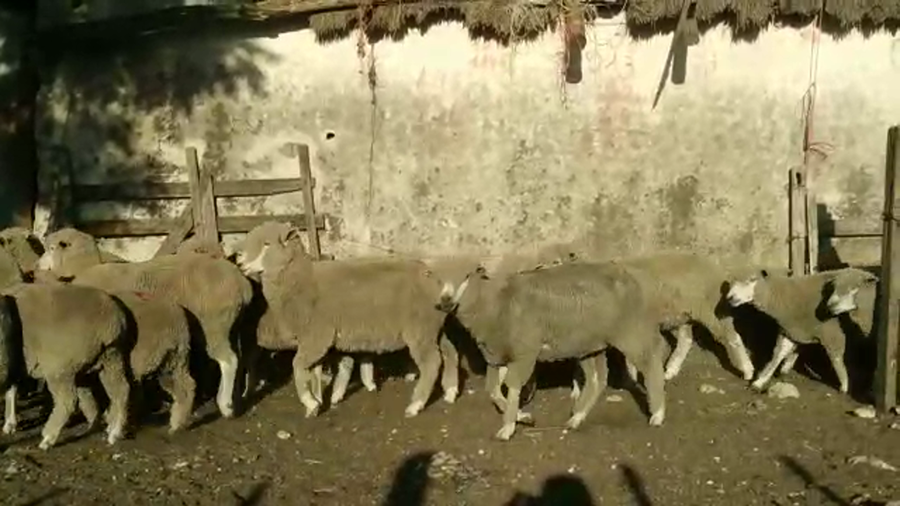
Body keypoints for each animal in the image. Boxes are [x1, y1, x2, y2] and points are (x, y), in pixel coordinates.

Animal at [0, 281, 131, 450]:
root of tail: (110, 320)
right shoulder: (15, 364)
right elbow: (11, 390)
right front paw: (10, 423)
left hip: (59, 367)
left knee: (67, 401)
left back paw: (48, 438)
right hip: (111, 357)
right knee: (121, 390)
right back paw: (114, 431)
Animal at [36, 228, 253, 419]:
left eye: (51, 248)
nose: (37, 267)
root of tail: (242, 284)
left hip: (214, 326)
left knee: (229, 360)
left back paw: (225, 405)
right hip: (231, 326)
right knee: (238, 358)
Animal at [234, 221, 453, 418]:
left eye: (267, 244)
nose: (240, 263)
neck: (300, 281)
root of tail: (433, 277)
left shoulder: (317, 337)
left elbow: (297, 366)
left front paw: (310, 401)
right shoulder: (315, 341)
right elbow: (314, 371)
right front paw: (317, 404)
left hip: (420, 330)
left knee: (432, 362)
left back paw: (415, 406)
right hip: (434, 328)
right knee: (449, 353)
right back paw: (450, 392)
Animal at [435, 258, 680, 441]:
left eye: (466, 276)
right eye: (435, 277)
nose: (445, 301)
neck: (495, 302)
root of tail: (631, 276)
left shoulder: (525, 352)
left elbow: (512, 387)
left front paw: (508, 427)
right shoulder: (496, 355)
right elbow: (493, 391)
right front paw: (522, 417)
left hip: (629, 331)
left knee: (652, 362)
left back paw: (657, 414)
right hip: (590, 344)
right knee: (597, 380)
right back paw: (576, 418)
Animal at [725, 267, 878, 393]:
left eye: (752, 279)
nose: (730, 298)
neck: (784, 298)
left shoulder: (832, 333)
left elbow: (836, 359)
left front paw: (845, 386)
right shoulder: (789, 331)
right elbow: (778, 355)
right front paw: (760, 381)